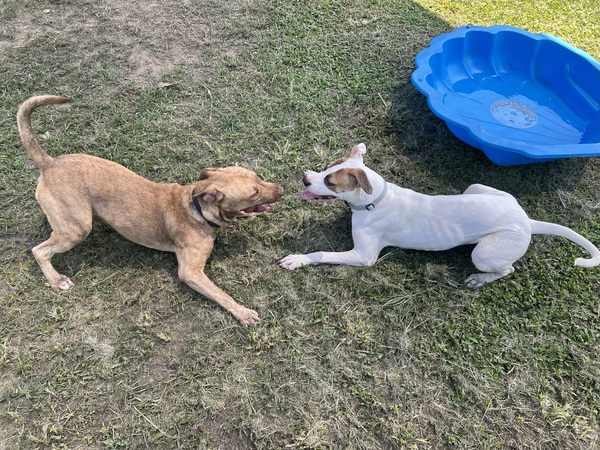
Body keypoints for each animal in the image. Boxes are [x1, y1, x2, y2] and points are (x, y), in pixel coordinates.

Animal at [18, 95, 284, 326]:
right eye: (253, 193)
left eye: (257, 177)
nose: (281, 189)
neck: (197, 209)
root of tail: (49, 163)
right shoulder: (191, 272)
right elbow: (221, 294)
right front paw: (243, 312)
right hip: (77, 230)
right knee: (40, 251)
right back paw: (56, 280)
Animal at [280, 143, 600, 286]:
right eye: (326, 167)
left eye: (331, 182)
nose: (305, 179)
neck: (375, 199)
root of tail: (527, 221)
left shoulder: (363, 256)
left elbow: (322, 253)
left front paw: (298, 259)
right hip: (477, 188)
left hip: (484, 253)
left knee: (506, 269)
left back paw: (480, 279)